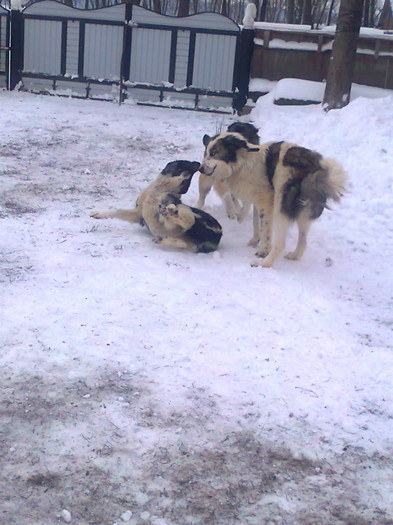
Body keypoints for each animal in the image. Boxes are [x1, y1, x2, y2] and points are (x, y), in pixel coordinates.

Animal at [90, 159, 222, 253]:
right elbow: (117, 211)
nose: (197, 164)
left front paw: (182, 177)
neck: (158, 189)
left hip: (188, 212)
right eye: (183, 164)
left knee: (188, 221)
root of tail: (219, 234)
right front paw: (99, 214)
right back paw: (163, 236)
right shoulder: (138, 213)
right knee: (183, 242)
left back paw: (168, 218)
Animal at [201, 131, 344, 266]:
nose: (200, 169)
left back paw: (263, 263)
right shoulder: (258, 201)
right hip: (305, 214)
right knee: (303, 241)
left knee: (280, 245)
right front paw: (253, 238)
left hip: (280, 206)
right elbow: (255, 222)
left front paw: (262, 250)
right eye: (206, 153)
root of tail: (314, 170)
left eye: (213, 153)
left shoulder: (265, 202)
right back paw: (294, 256)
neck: (242, 162)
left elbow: (264, 230)